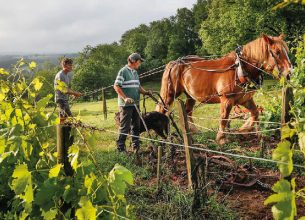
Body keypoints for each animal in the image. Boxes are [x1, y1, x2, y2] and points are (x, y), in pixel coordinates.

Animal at [156, 34, 290, 144]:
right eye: (277, 52)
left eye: (287, 50)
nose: (289, 73)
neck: (240, 68)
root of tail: (174, 62)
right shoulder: (226, 99)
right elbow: (224, 118)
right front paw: (221, 138)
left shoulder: (245, 99)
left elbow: (255, 113)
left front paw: (247, 130)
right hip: (170, 93)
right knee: (162, 109)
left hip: (190, 95)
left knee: (188, 111)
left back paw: (193, 131)